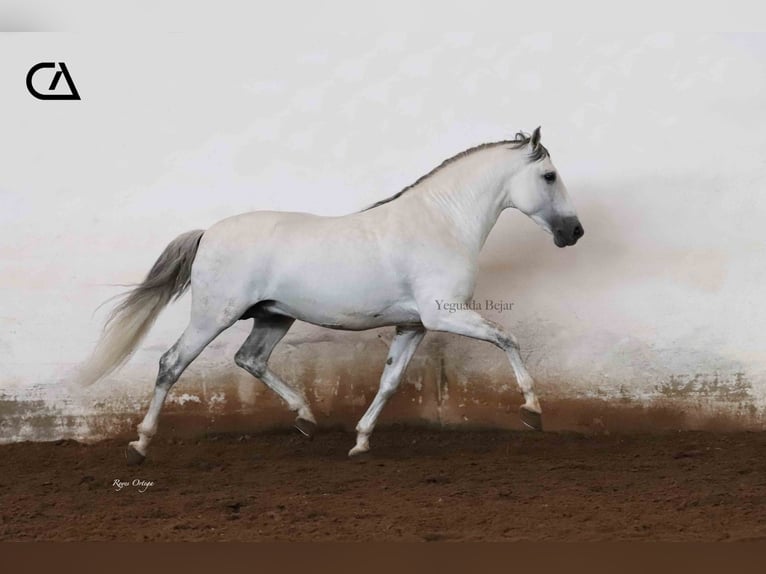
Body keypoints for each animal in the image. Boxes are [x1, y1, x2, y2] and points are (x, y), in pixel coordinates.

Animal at [78, 127, 584, 465]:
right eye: (549, 175)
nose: (575, 232)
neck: (441, 223)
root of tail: (207, 233)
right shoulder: (445, 315)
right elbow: (507, 338)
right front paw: (532, 411)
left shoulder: (412, 325)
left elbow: (389, 381)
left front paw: (359, 442)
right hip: (212, 316)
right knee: (171, 364)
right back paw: (140, 444)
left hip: (273, 316)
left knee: (250, 359)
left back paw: (305, 418)